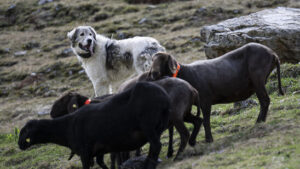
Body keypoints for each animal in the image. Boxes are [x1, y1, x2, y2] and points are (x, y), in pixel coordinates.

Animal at [18, 82, 170, 169]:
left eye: (25, 131)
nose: (20, 144)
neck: (66, 128)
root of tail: (164, 96)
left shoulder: (85, 153)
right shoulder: (99, 150)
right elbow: (102, 163)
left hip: (148, 124)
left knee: (156, 146)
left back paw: (148, 165)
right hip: (158, 126)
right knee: (154, 147)